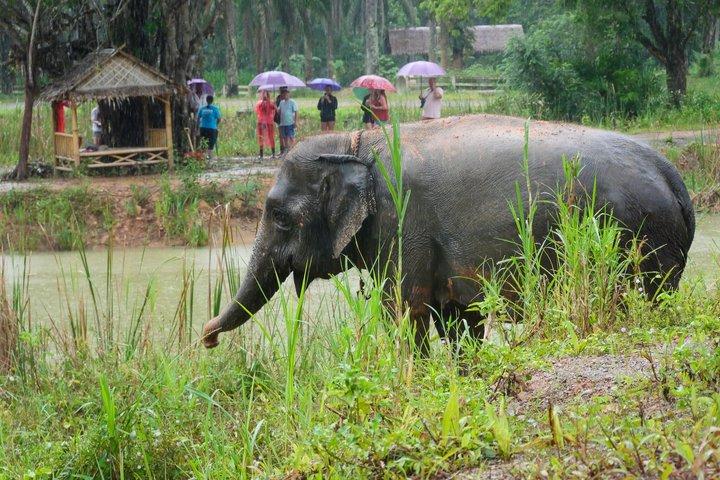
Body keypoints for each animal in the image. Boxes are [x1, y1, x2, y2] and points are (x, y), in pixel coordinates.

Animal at [202, 114, 695, 351]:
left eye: (279, 215)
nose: (206, 338)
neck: (354, 141)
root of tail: (673, 175)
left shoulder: (402, 224)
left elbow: (406, 311)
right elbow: (457, 319)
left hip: (642, 236)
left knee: (648, 293)